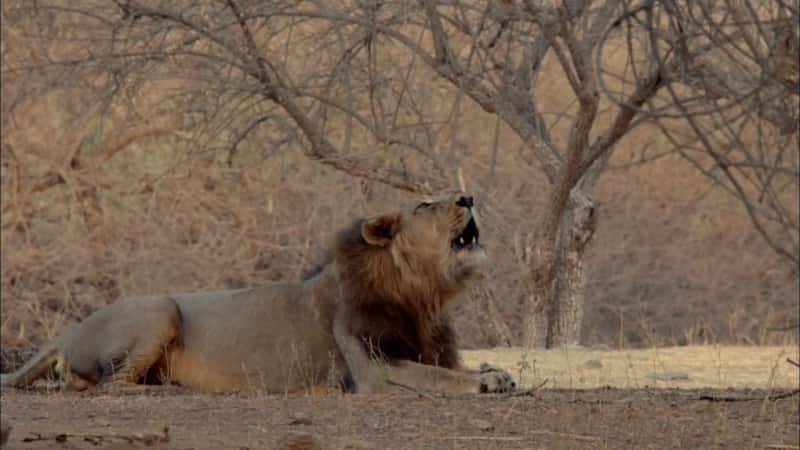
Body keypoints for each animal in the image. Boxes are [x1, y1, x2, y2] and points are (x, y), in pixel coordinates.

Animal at [0, 192, 516, 396]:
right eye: (426, 204)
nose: (468, 197)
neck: (421, 295)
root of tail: (67, 331)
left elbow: (451, 367)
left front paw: (496, 372)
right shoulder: (372, 368)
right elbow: (436, 377)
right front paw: (486, 382)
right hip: (160, 308)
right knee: (109, 385)